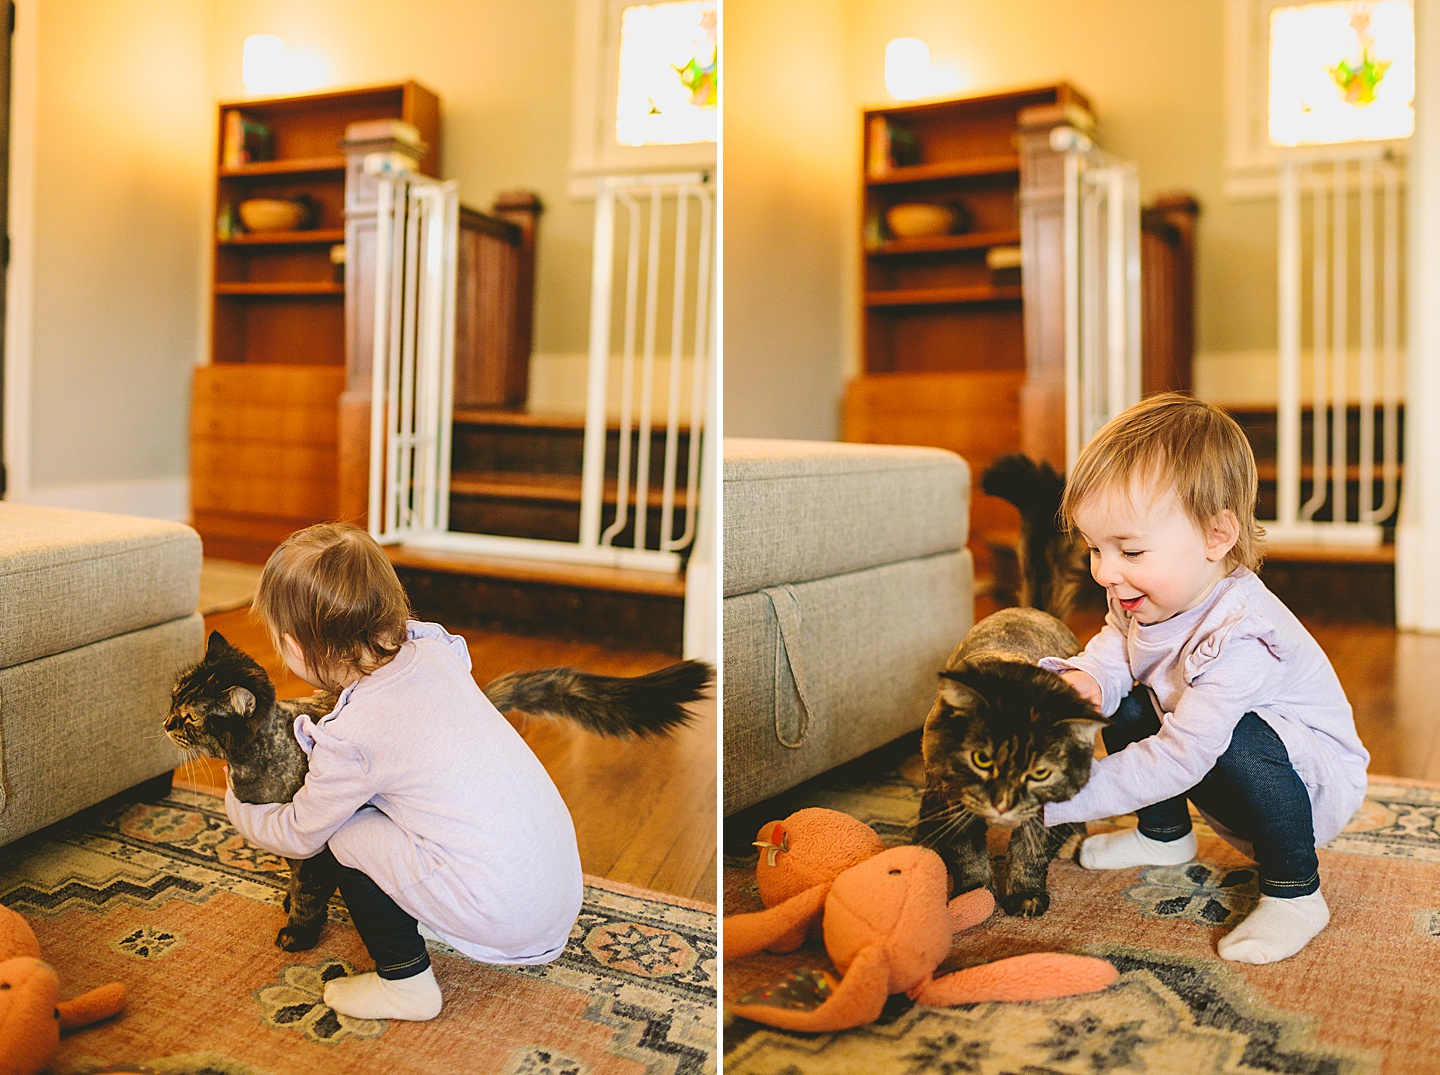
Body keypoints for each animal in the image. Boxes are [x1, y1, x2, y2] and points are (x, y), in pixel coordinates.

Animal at [167, 630, 708, 949]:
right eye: (174, 697)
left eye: (190, 717)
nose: (166, 721)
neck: (254, 765)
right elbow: (294, 876)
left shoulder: (315, 839)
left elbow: (308, 888)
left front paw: (298, 932)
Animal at [915, 454, 1105, 915]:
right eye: (982, 760)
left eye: (1038, 773)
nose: (1003, 802)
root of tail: (1031, 609)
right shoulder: (949, 800)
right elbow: (967, 856)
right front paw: (974, 898)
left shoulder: (1045, 808)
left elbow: (1029, 852)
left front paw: (1023, 894)